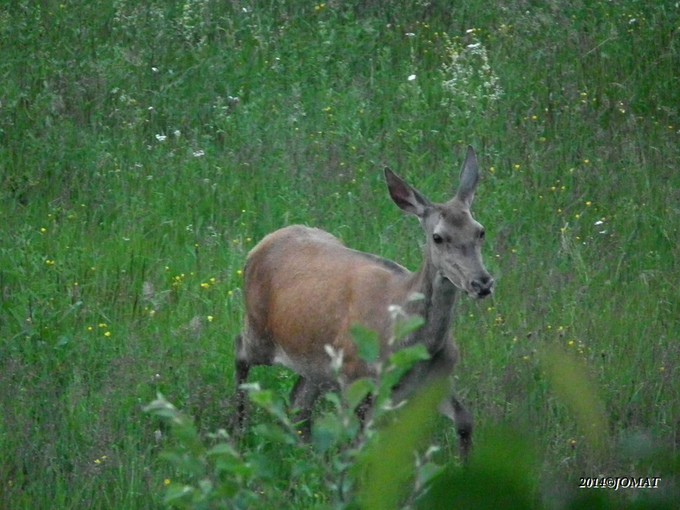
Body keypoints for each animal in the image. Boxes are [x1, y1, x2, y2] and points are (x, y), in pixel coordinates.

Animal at [235, 146, 494, 458]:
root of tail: (261, 245)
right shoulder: (355, 378)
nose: (482, 282)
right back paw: (237, 431)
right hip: (260, 329)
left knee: (299, 402)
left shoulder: (436, 381)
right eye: (438, 237)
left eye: (480, 230)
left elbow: (465, 421)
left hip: (317, 362)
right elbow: (358, 444)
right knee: (240, 352)